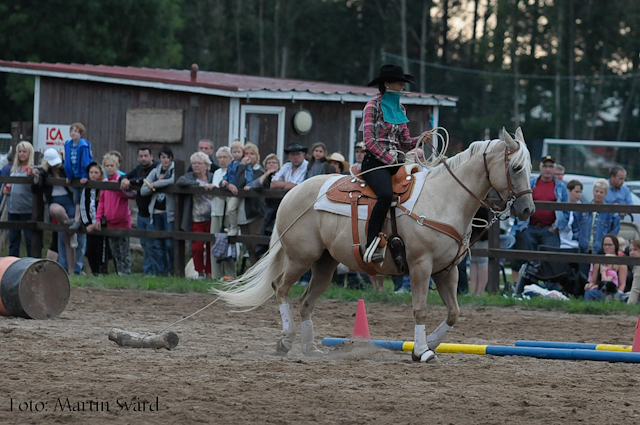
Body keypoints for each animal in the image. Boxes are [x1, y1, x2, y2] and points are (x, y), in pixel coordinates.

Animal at [215, 126, 536, 362]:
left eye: (530, 167)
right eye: (516, 167)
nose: (527, 210)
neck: (444, 198)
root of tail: (292, 193)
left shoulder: (448, 270)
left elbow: (454, 313)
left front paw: (429, 344)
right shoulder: (421, 266)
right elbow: (420, 308)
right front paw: (421, 351)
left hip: (325, 263)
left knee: (306, 300)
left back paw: (310, 348)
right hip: (300, 257)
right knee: (280, 288)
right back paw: (286, 340)